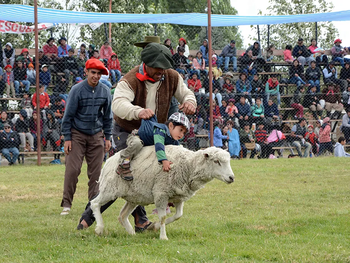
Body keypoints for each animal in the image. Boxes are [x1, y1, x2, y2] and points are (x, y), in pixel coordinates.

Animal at [90, 146, 234, 241]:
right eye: (216, 161)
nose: (232, 178)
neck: (188, 166)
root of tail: (109, 160)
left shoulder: (178, 197)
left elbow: (178, 216)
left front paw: (155, 226)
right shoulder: (161, 193)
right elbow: (163, 217)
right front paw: (163, 237)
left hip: (133, 197)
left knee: (122, 215)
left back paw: (132, 233)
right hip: (109, 190)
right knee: (94, 203)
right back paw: (99, 228)